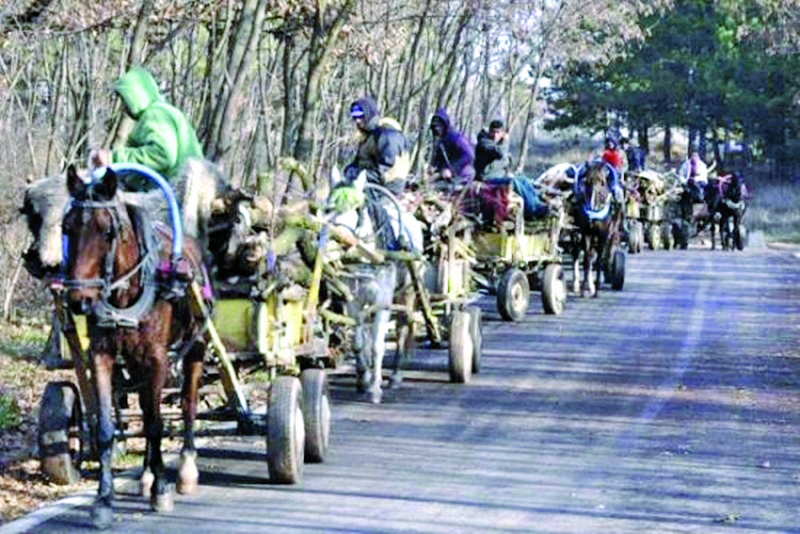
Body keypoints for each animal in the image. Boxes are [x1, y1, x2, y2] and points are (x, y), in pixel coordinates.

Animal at [63, 165, 206, 528]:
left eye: (107, 231)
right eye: (67, 227)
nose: (79, 299)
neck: (125, 294)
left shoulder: (157, 359)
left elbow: (156, 424)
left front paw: (162, 490)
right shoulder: (102, 356)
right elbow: (107, 428)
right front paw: (103, 500)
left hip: (196, 346)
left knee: (188, 404)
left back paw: (185, 469)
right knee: (144, 406)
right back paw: (146, 475)